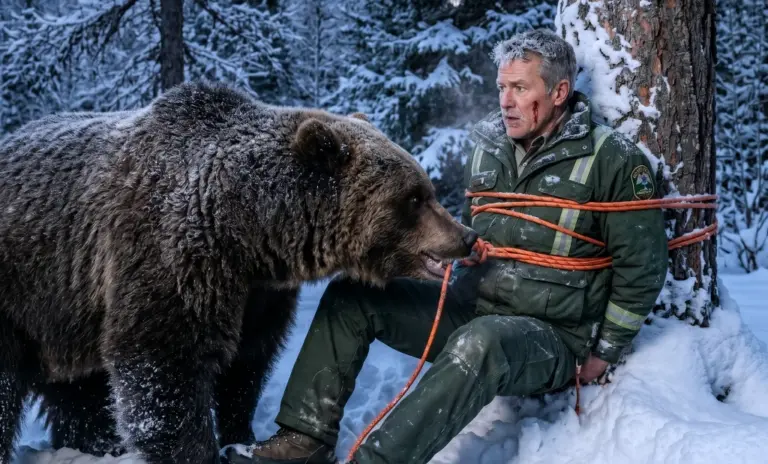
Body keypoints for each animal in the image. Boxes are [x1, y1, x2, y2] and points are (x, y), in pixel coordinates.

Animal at [0, 81, 478, 463]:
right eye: (415, 197)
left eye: (426, 189)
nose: (466, 235)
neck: (247, 230)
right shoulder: (169, 256)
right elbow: (163, 365)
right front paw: (199, 450)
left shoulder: (257, 294)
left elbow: (247, 365)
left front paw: (242, 436)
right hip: (27, 289)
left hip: (64, 310)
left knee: (77, 389)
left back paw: (99, 443)